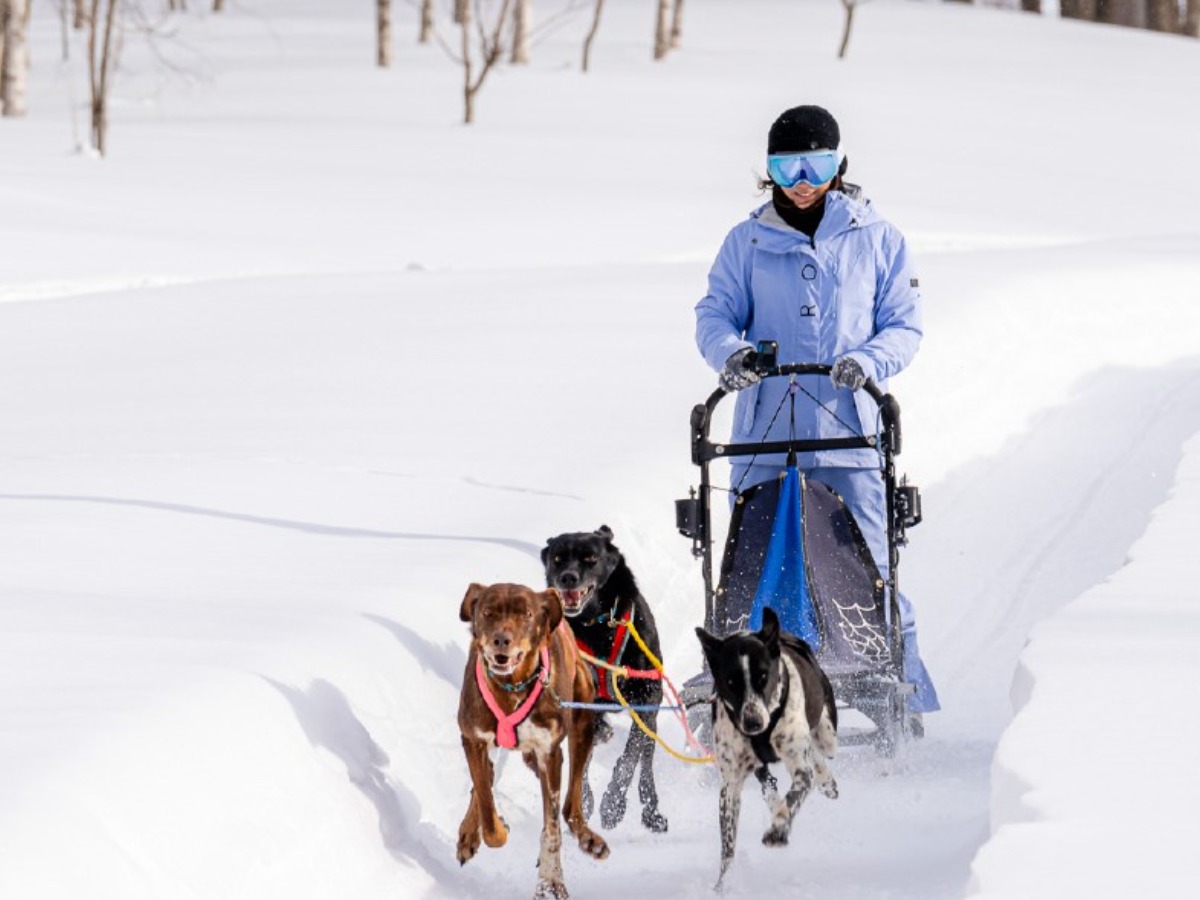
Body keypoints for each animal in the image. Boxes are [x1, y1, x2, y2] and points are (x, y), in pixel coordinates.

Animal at [456, 585, 609, 900]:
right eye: (487, 612)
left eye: (526, 614)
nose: (501, 640)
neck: (510, 687)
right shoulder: (472, 739)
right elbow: (487, 811)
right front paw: (493, 827)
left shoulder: (549, 754)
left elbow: (551, 830)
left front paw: (550, 880)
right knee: (487, 778)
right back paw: (469, 831)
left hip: (582, 722)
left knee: (571, 807)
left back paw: (588, 838)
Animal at [542, 525, 672, 835]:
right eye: (557, 558)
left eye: (590, 557)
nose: (568, 577)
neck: (595, 626)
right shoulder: (578, 706)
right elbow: (582, 763)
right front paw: (584, 802)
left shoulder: (646, 701)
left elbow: (629, 757)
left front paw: (613, 803)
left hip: (651, 718)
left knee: (645, 762)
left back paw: (651, 811)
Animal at [700, 609, 840, 892]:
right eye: (730, 682)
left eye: (763, 677)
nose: (752, 723)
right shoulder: (730, 785)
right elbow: (728, 846)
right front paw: (722, 885)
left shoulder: (800, 766)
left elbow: (794, 795)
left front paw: (777, 830)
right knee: (769, 783)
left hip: (828, 736)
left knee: (818, 750)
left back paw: (826, 780)